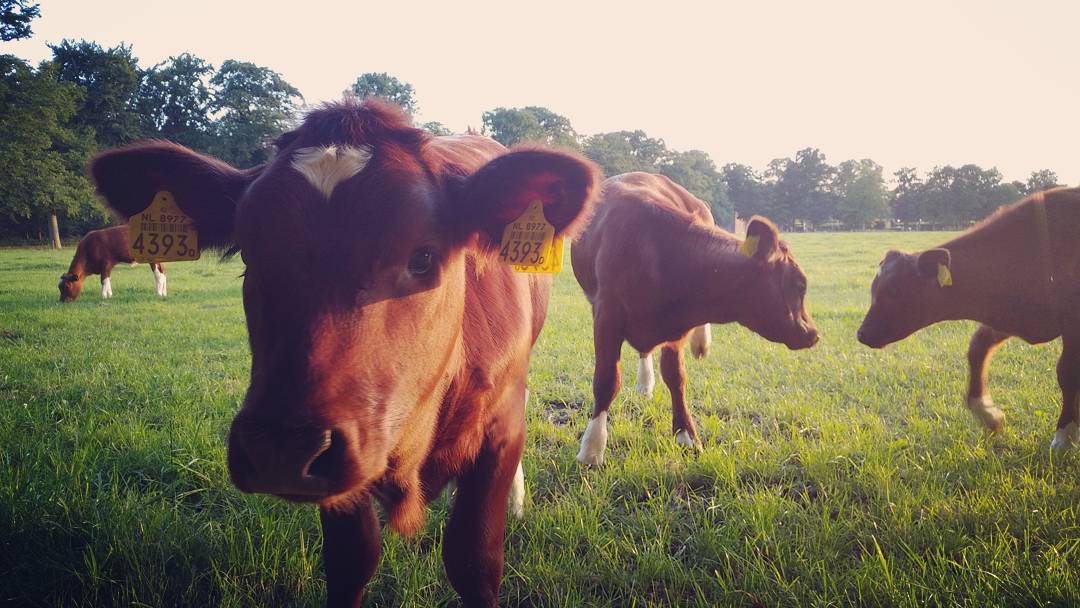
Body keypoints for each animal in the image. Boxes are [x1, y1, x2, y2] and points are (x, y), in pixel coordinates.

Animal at [90, 99, 600, 608]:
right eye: (250, 256)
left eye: (422, 257)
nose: (282, 448)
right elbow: (352, 559)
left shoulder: (499, 429)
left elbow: (474, 559)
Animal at [574, 172, 816, 466]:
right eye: (799, 284)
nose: (812, 333)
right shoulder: (607, 317)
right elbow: (606, 381)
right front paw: (592, 448)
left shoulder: (676, 326)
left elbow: (676, 377)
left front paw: (686, 435)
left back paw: (699, 345)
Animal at [859, 187, 1080, 449]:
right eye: (874, 288)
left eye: (894, 291)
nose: (862, 333)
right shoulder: (1003, 317)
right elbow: (977, 350)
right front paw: (988, 413)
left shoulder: (1073, 322)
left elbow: (1067, 371)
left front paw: (1064, 436)